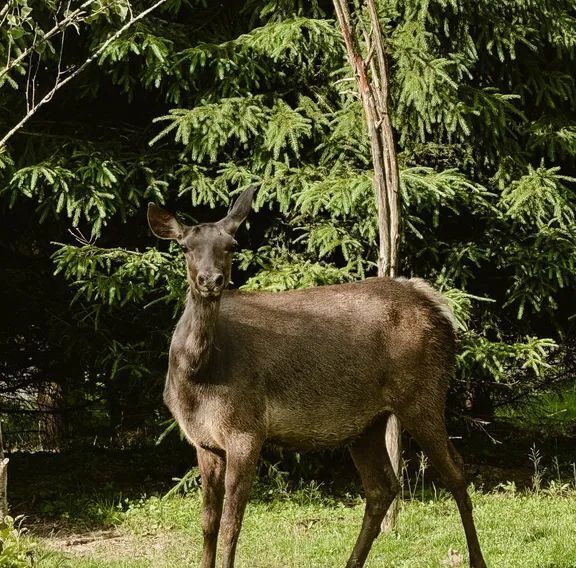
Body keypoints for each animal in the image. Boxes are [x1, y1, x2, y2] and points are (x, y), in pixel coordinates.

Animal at [147, 186, 486, 568]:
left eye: (231, 245)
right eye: (185, 246)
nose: (210, 280)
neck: (198, 375)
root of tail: (438, 305)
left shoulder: (246, 430)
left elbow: (231, 526)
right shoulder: (204, 441)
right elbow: (208, 523)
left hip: (424, 393)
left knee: (456, 472)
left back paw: (477, 560)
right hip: (367, 422)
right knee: (382, 487)